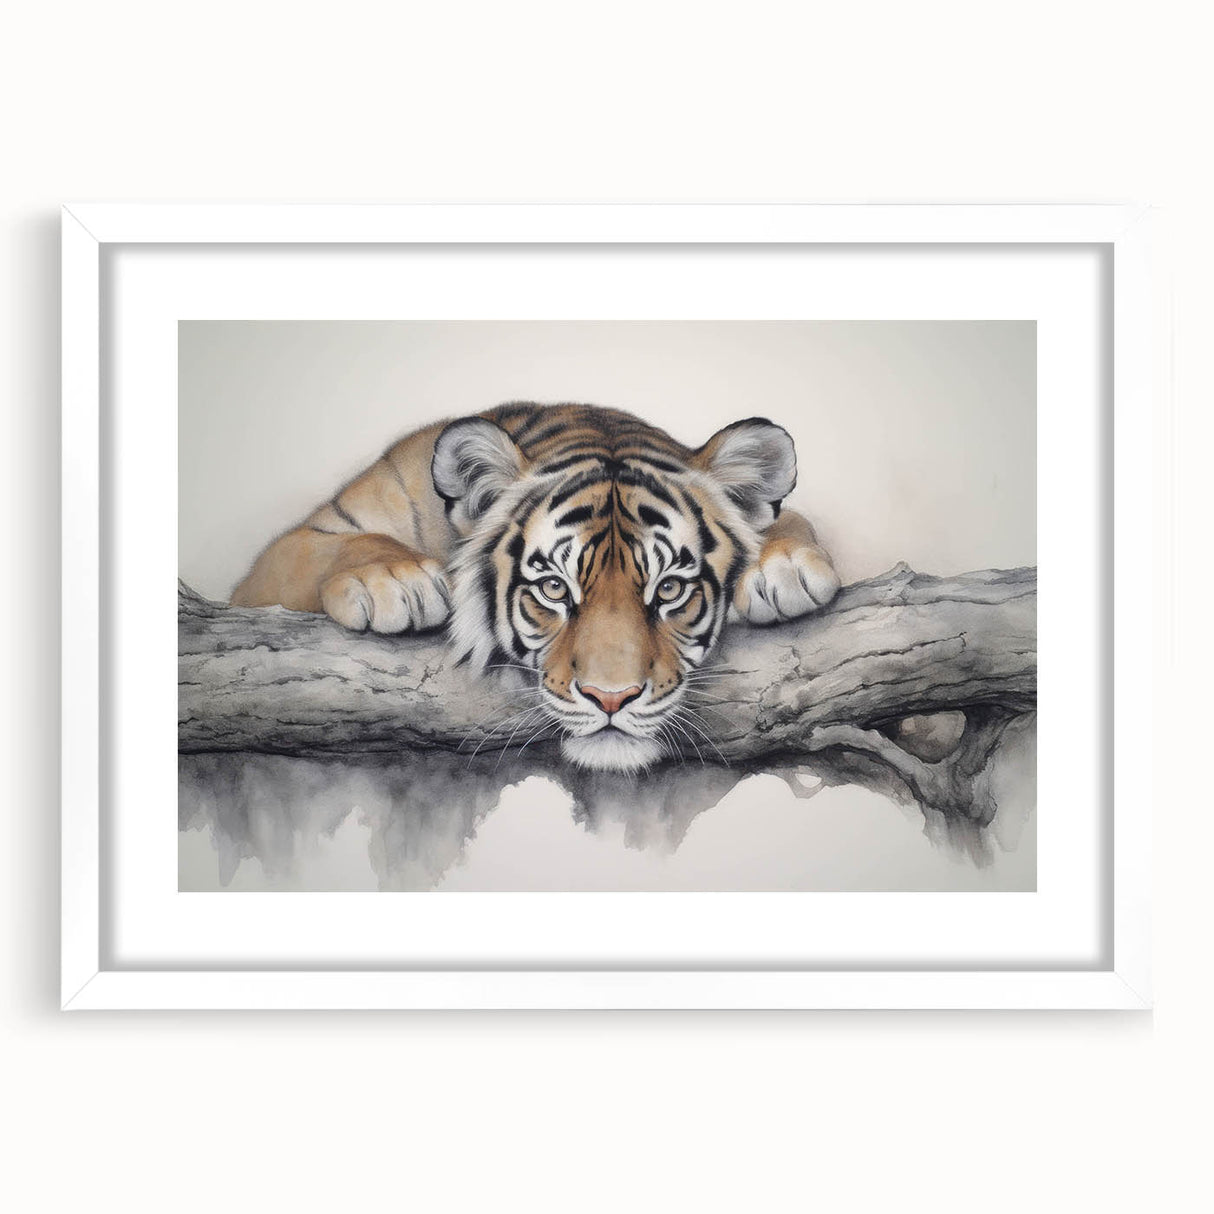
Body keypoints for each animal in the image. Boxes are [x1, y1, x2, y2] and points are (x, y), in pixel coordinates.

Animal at [231, 403, 841, 772]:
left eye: (669, 590)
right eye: (553, 588)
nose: (611, 699)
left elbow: (787, 521)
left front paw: (786, 566)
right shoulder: (282, 557)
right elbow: (338, 545)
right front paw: (397, 581)